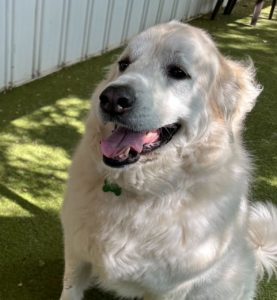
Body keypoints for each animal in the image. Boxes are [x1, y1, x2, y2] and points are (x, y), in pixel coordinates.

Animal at [60, 21, 276, 300]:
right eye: (124, 64)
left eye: (177, 72)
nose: (112, 99)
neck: (142, 193)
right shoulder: (76, 252)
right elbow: (70, 289)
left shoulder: (170, 289)